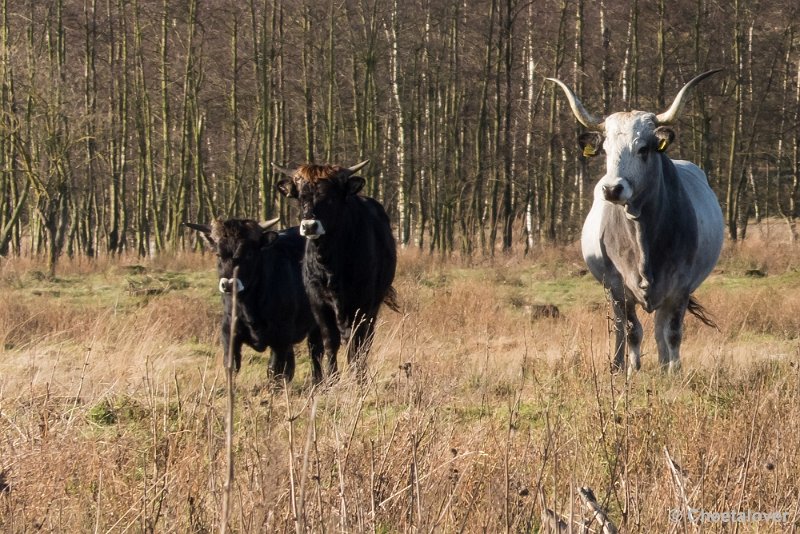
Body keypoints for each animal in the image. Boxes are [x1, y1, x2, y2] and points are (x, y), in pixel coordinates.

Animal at [186, 219, 324, 386]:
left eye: (249, 254)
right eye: (218, 254)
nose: (229, 284)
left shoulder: (281, 336)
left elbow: (274, 370)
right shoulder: (228, 332)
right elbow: (231, 366)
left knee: (316, 353)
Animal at [276, 161, 400, 384]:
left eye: (330, 197)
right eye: (301, 197)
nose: (309, 226)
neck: (330, 263)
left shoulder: (362, 304)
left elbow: (356, 344)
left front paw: (357, 378)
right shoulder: (318, 302)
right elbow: (329, 341)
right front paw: (332, 379)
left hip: (373, 306)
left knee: (365, 341)